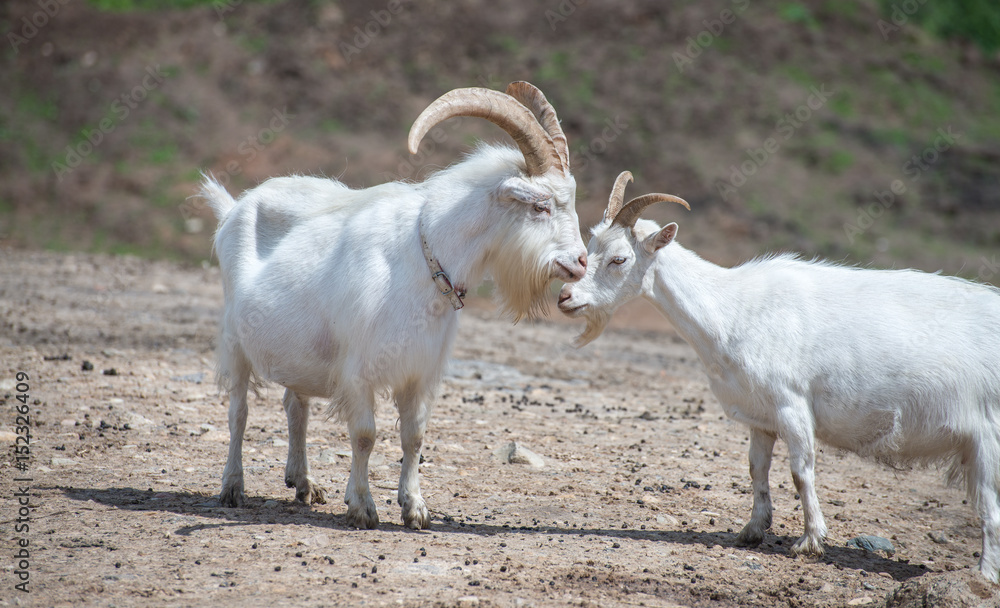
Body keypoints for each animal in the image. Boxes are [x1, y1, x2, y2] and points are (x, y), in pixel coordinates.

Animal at [200, 82, 587, 530]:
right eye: (540, 205)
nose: (581, 262)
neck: (422, 257)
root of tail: (234, 208)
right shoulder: (359, 370)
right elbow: (365, 435)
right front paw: (363, 507)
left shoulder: (420, 370)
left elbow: (414, 436)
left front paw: (414, 507)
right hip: (236, 341)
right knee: (239, 413)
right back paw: (232, 487)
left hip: (298, 350)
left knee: (295, 406)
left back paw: (303, 483)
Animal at [558, 171, 1000, 582]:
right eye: (590, 247)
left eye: (619, 259)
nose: (565, 297)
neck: (733, 309)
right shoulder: (761, 416)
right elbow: (757, 469)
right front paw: (752, 530)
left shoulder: (792, 404)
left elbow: (801, 471)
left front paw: (810, 541)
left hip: (989, 437)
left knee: (989, 508)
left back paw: (983, 575)